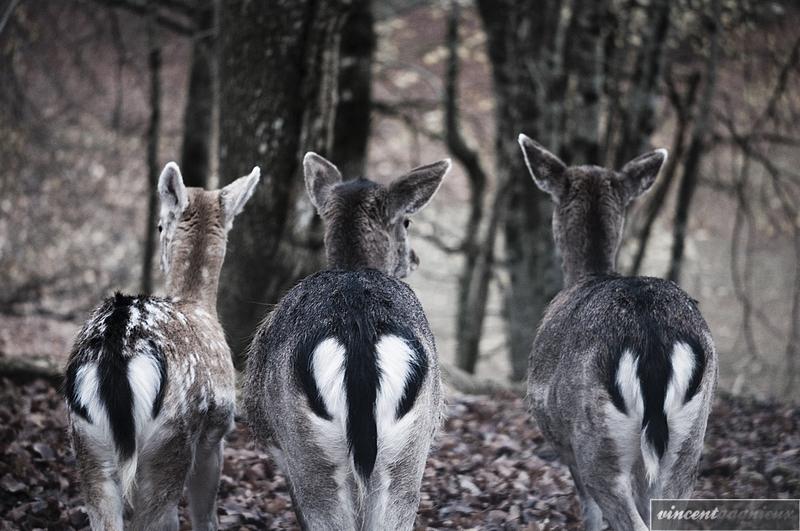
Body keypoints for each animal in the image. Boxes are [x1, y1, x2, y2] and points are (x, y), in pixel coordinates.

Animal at [65, 162, 260, 531]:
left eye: (158, 225)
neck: (198, 303)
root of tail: (116, 354)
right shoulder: (217, 433)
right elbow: (204, 514)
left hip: (85, 439)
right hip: (170, 440)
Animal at [244, 152, 450, 528]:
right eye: (407, 222)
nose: (414, 259)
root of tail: (358, 333)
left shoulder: (282, 455)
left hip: (310, 457)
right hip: (408, 455)